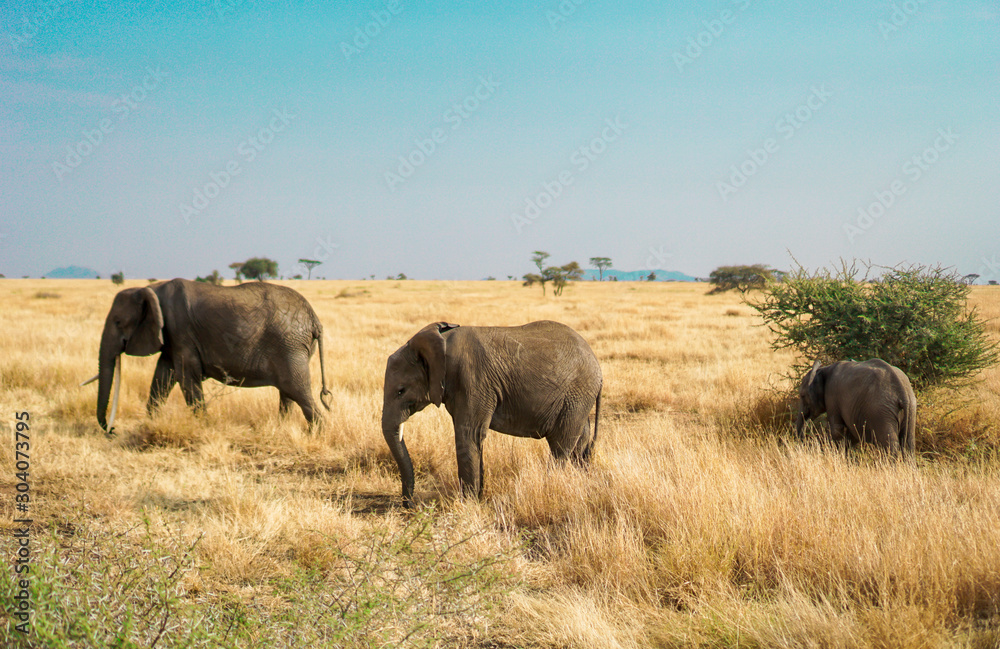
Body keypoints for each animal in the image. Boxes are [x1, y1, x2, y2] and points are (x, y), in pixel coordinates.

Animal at [87, 278, 331, 433]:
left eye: (118, 322)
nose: (113, 430)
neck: (149, 289)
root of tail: (315, 319)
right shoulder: (172, 337)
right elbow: (163, 377)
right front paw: (149, 424)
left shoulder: (180, 330)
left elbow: (186, 377)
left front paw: (203, 428)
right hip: (293, 347)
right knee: (288, 393)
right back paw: (282, 429)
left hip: (289, 345)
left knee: (296, 389)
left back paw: (317, 434)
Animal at [382, 320, 603, 507]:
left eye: (401, 391)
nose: (410, 505)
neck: (440, 343)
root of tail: (598, 367)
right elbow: (474, 439)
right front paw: (477, 499)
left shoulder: (472, 381)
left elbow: (468, 435)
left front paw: (468, 505)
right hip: (577, 400)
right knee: (579, 443)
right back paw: (582, 483)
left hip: (576, 395)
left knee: (560, 445)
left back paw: (550, 488)